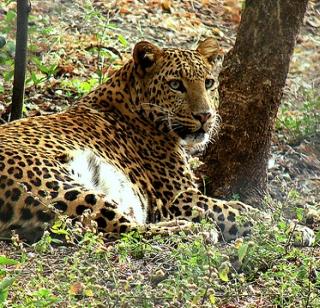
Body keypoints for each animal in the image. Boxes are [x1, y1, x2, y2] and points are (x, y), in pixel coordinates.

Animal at [0, 38, 316, 245]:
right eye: (176, 85)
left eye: (209, 83)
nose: (205, 116)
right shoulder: (180, 198)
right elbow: (240, 212)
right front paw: (291, 229)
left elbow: (241, 208)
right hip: (59, 185)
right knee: (122, 230)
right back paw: (196, 231)